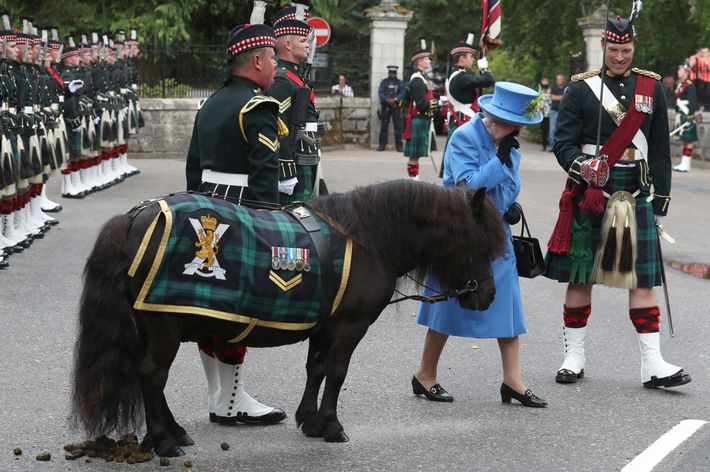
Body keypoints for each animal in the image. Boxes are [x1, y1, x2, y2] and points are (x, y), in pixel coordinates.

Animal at [71, 179, 506, 456]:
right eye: (479, 241)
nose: (488, 296)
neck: (367, 238)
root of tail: (136, 217)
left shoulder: (325, 327)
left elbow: (316, 369)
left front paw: (310, 421)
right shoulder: (349, 327)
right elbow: (337, 372)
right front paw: (331, 425)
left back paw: (172, 432)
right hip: (164, 325)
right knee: (151, 375)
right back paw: (164, 440)